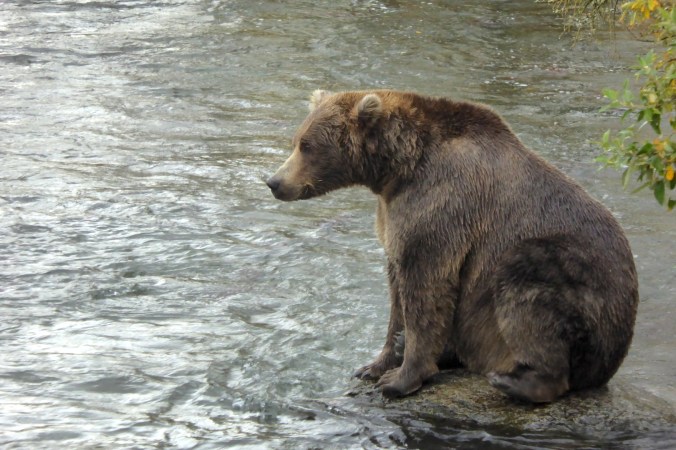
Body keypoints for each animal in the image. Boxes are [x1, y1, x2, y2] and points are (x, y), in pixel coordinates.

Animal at [266, 89, 639, 403]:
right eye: (296, 140)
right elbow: (397, 291)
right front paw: (374, 364)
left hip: (573, 285)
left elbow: (426, 286)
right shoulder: (393, 215)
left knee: (528, 292)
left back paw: (516, 381)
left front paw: (399, 379)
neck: (398, 169)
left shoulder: (442, 206)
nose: (274, 182)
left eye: (307, 145)